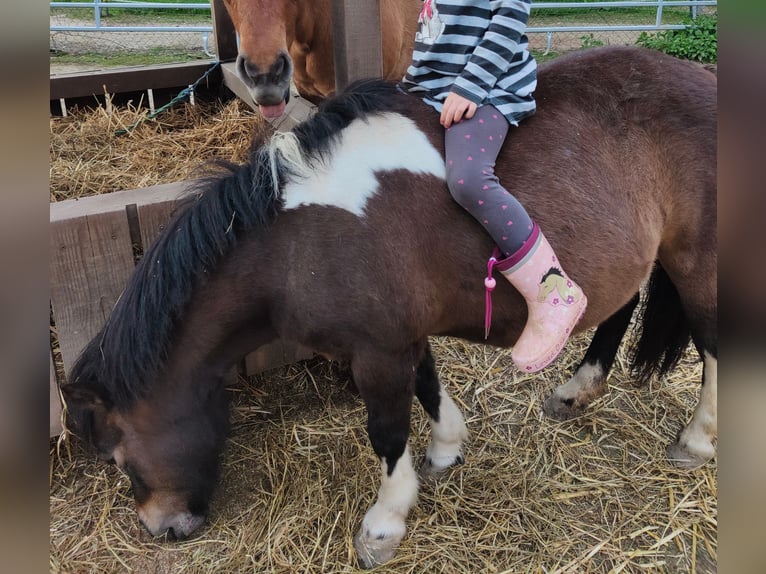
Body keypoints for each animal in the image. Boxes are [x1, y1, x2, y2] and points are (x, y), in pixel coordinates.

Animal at [63, 47, 716, 568]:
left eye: (117, 457)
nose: (162, 528)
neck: (292, 241)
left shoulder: (377, 352)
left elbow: (387, 429)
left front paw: (384, 523)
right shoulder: (398, 336)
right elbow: (427, 385)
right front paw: (447, 447)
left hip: (695, 258)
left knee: (711, 345)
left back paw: (696, 439)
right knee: (620, 306)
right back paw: (578, 389)